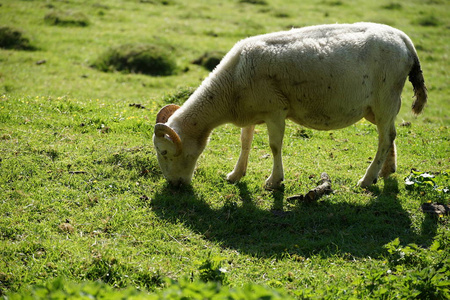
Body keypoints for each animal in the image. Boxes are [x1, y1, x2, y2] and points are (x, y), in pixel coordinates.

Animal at [153, 22, 428, 189]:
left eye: (164, 152)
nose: (174, 185)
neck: (229, 88)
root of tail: (404, 40)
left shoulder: (275, 110)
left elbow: (274, 146)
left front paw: (274, 181)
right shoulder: (252, 111)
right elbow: (245, 142)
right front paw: (236, 174)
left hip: (385, 97)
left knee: (385, 137)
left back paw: (367, 179)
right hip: (375, 107)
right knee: (390, 134)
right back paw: (386, 171)